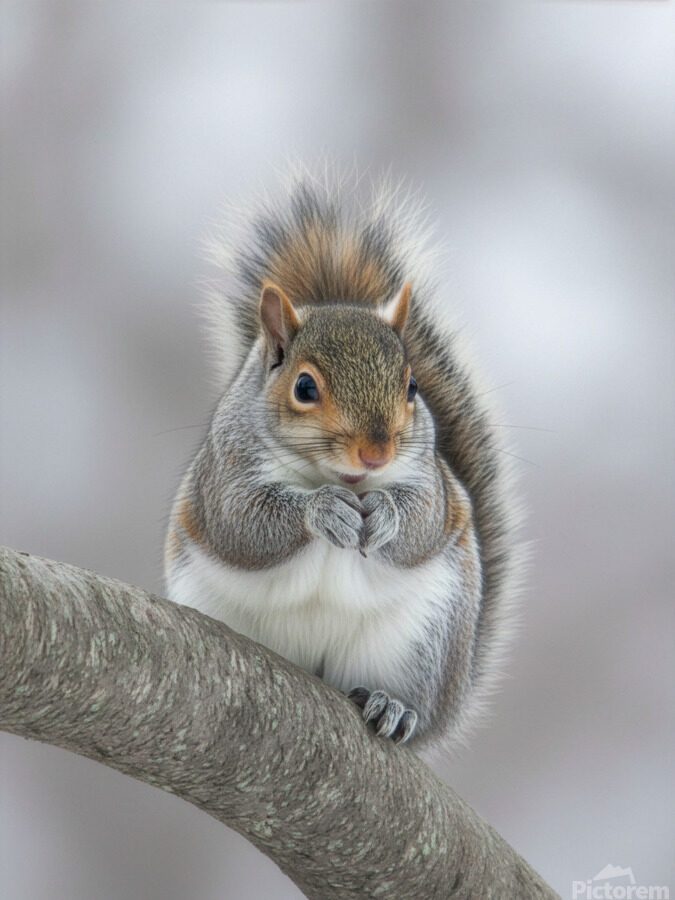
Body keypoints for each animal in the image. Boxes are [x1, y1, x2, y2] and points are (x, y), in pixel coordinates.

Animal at [164, 169, 519, 749]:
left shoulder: (432, 482)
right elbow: (243, 524)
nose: (376, 453)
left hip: (426, 641)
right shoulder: (225, 474)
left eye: (412, 386)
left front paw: (387, 515)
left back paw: (394, 708)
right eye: (305, 387)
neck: (342, 477)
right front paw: (324, 510)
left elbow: (424, 520)